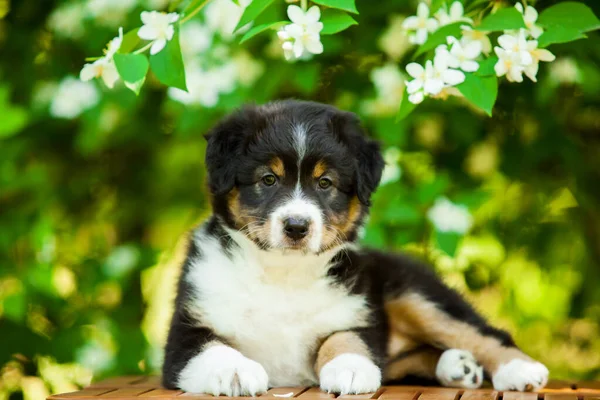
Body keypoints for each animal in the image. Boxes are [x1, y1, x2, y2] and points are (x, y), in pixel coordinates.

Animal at [162, 101, 552, 396]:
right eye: (268, 179)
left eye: (325, 183)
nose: (297, 226)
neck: (283, 274)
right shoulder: (185, 334)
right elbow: (213, 348)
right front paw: (236, 372)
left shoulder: (354, 312)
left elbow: (344, 340)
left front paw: (349, 368)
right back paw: (458, 366)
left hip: (413, 291)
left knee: (483, 333)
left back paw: (519, 369)